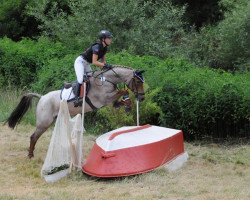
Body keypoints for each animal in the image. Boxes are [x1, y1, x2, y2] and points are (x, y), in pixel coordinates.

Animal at [4, 65, 146, 158]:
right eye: (138, 81)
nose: (142, 98)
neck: (106, 80)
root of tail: (42, 97)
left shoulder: (111, 103)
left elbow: (121, 98)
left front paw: (128, 106)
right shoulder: (104, 99)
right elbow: (123, 91)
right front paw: (127, 100)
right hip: (44, 122)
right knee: (33, 136)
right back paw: (30, 154)